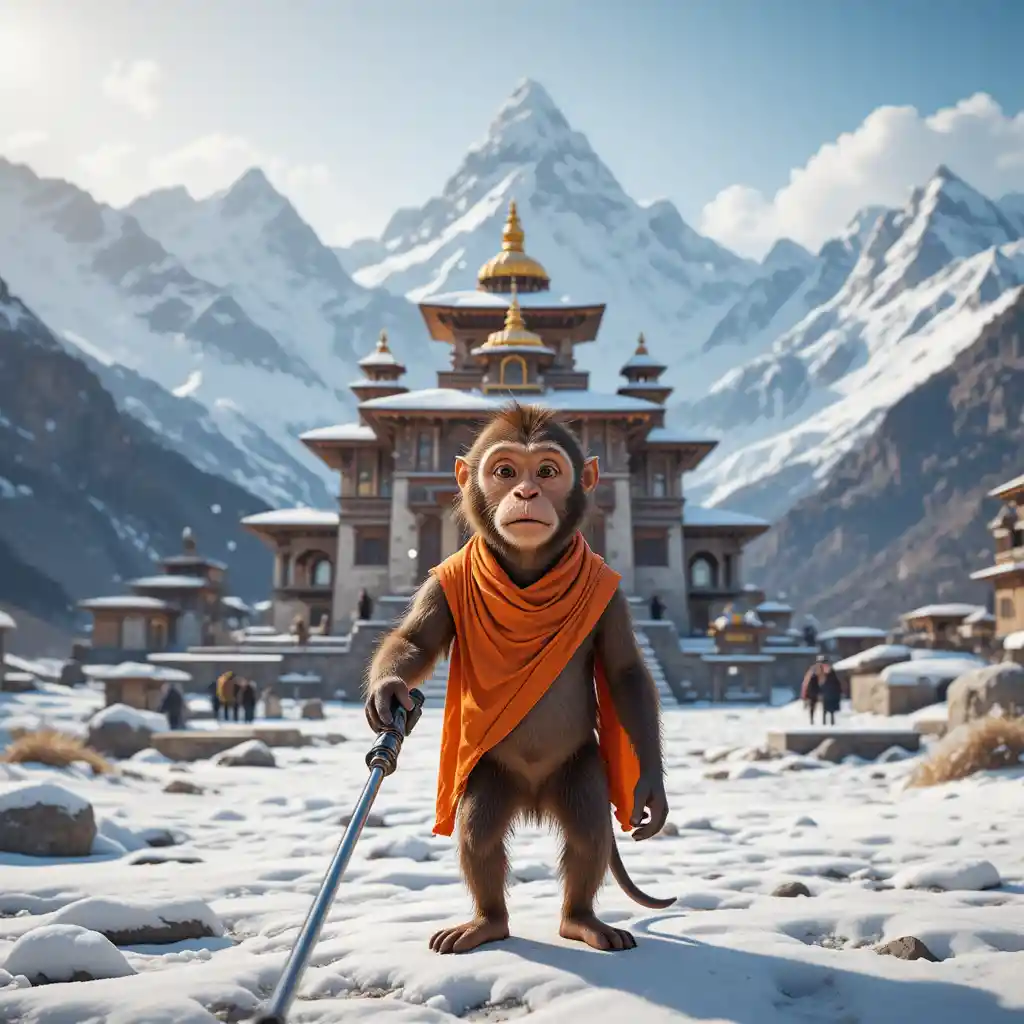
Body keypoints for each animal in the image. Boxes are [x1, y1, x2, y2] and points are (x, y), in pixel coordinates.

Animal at [365, 403, 672, 955]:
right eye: (505, 471)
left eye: (546, 472)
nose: (526, 493)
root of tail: (533, 798)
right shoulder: (439, 584)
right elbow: (415, 640)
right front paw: (388, 692)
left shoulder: (613, 597)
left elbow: (625, 673)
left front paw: (651, 792)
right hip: (491, 776)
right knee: (479, 833)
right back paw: (486, 922)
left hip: (579, 769)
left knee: (588, 832)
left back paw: (581, 921)